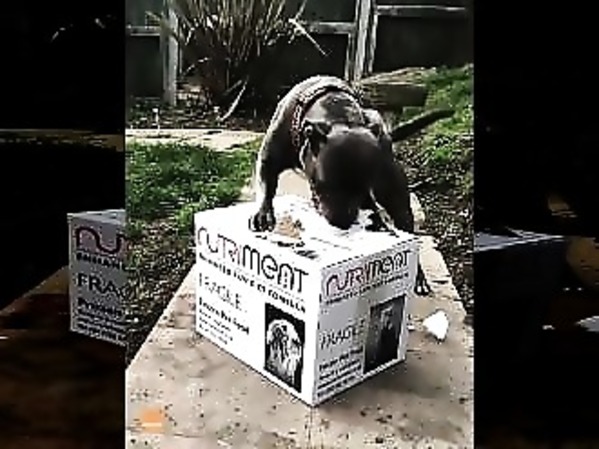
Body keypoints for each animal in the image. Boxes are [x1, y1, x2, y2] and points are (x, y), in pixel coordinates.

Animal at [250, 75, 453, 295]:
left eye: (364, 187)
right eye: (325, 184)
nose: (343, 222)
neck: (337, 116)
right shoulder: (268, 159)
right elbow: (266, 185)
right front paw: (262, 214)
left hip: (396, 199)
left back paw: (419, 278)